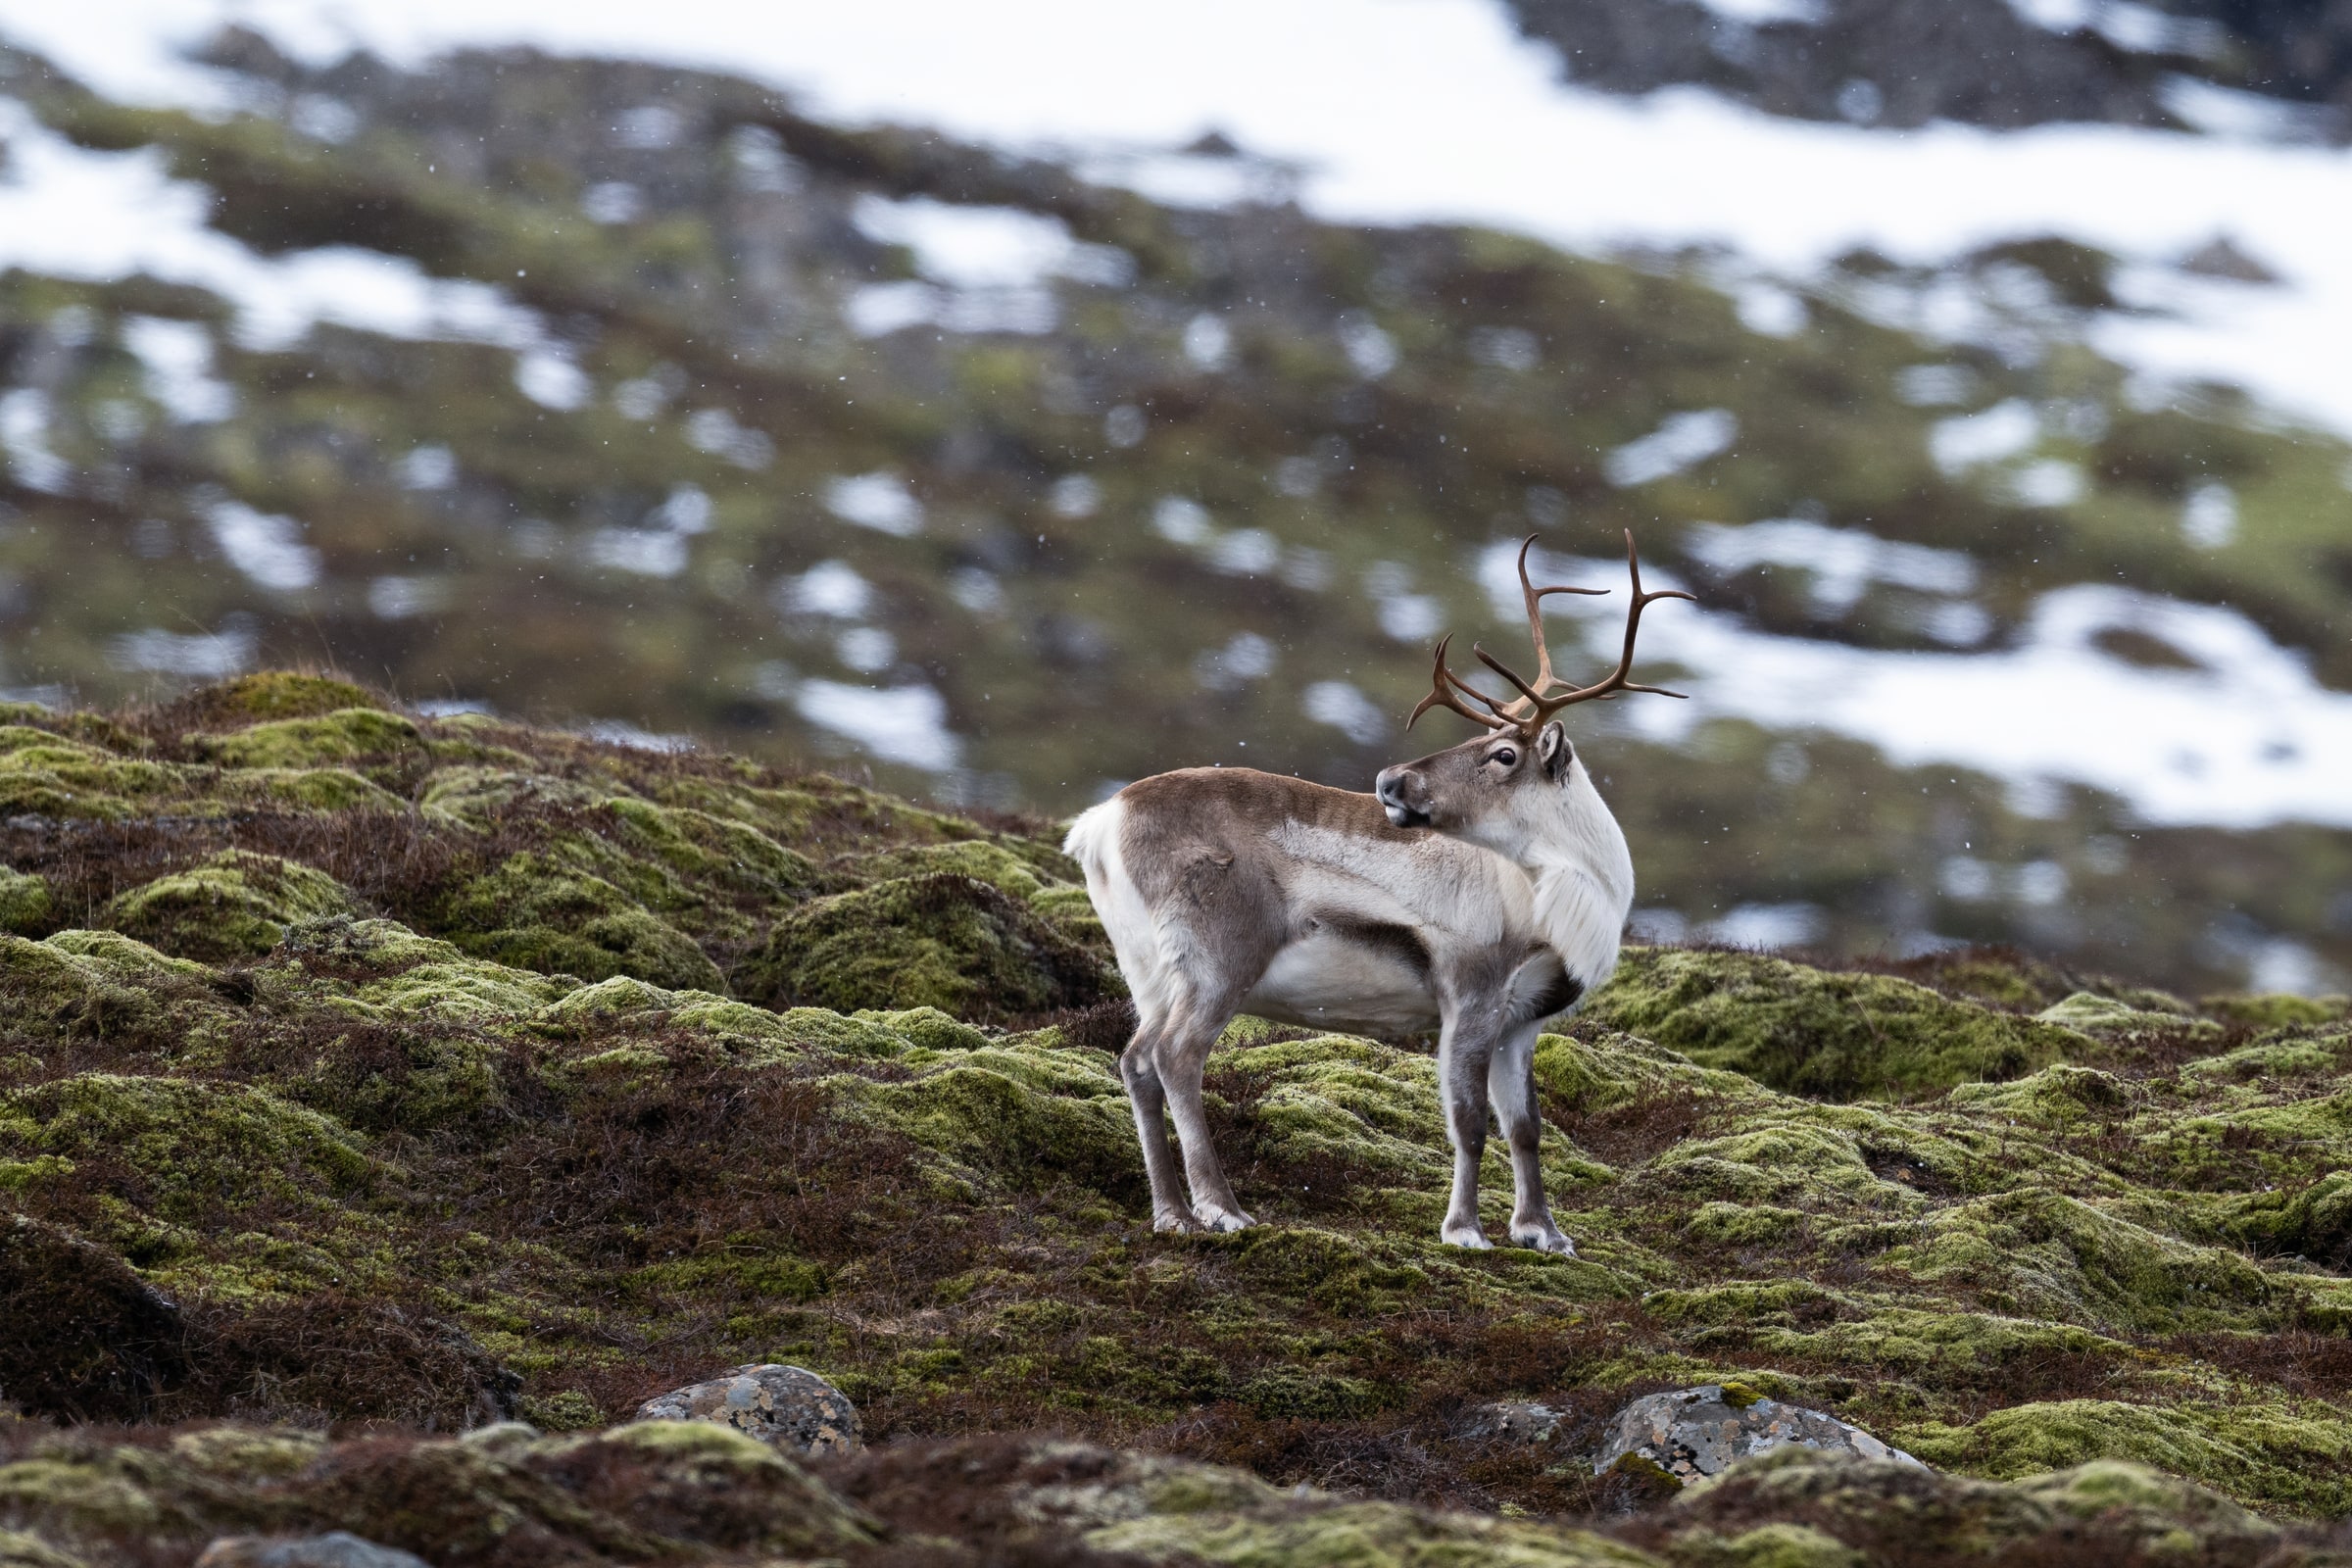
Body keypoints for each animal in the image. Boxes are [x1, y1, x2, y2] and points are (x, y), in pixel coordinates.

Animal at [1064, 531, 1693, 1253]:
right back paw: (1223, 1210)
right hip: (1217, 961)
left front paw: (1543, 1231)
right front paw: (1464, 1231)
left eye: (1502, 752)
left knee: (1136, 1060)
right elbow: (1469, 1121)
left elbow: (1526, 1127)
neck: (1565, 891)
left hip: (1146, 970)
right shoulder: (1469, 993)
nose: (1390, 779)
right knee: (1176, 1057)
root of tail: (1099, 823)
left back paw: (1172, 1214)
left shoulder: (1523, 1021)